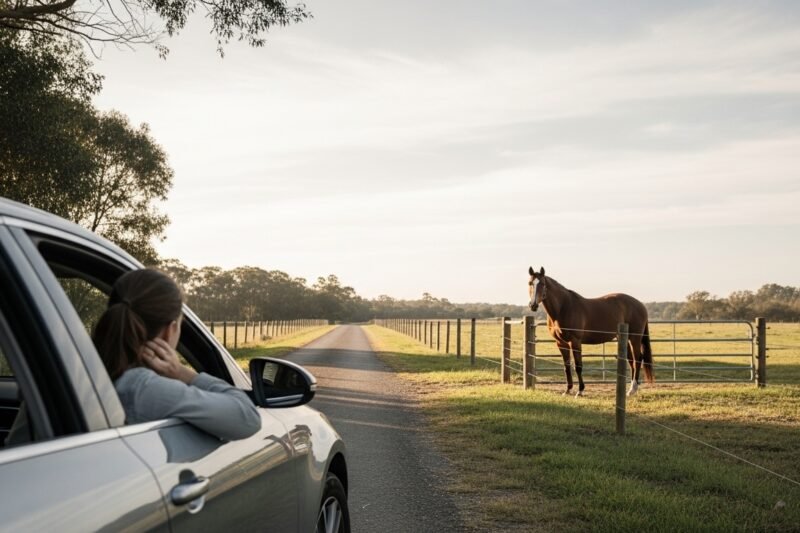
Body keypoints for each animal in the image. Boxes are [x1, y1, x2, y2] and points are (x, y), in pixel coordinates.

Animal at [527, 266, 654, 396]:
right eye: (530, 283)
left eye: (542, 283)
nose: (533, 305)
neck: (563, 308)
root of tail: (641, 305)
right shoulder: (561, 343)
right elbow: (566, 366)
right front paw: (568, 390)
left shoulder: (575, 341)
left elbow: (578, 366)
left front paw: (580, 391)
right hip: (624, 338)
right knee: (631, 361)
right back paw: (629, 389)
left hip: (634, 338)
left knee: (638, 359)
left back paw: (632, 389)